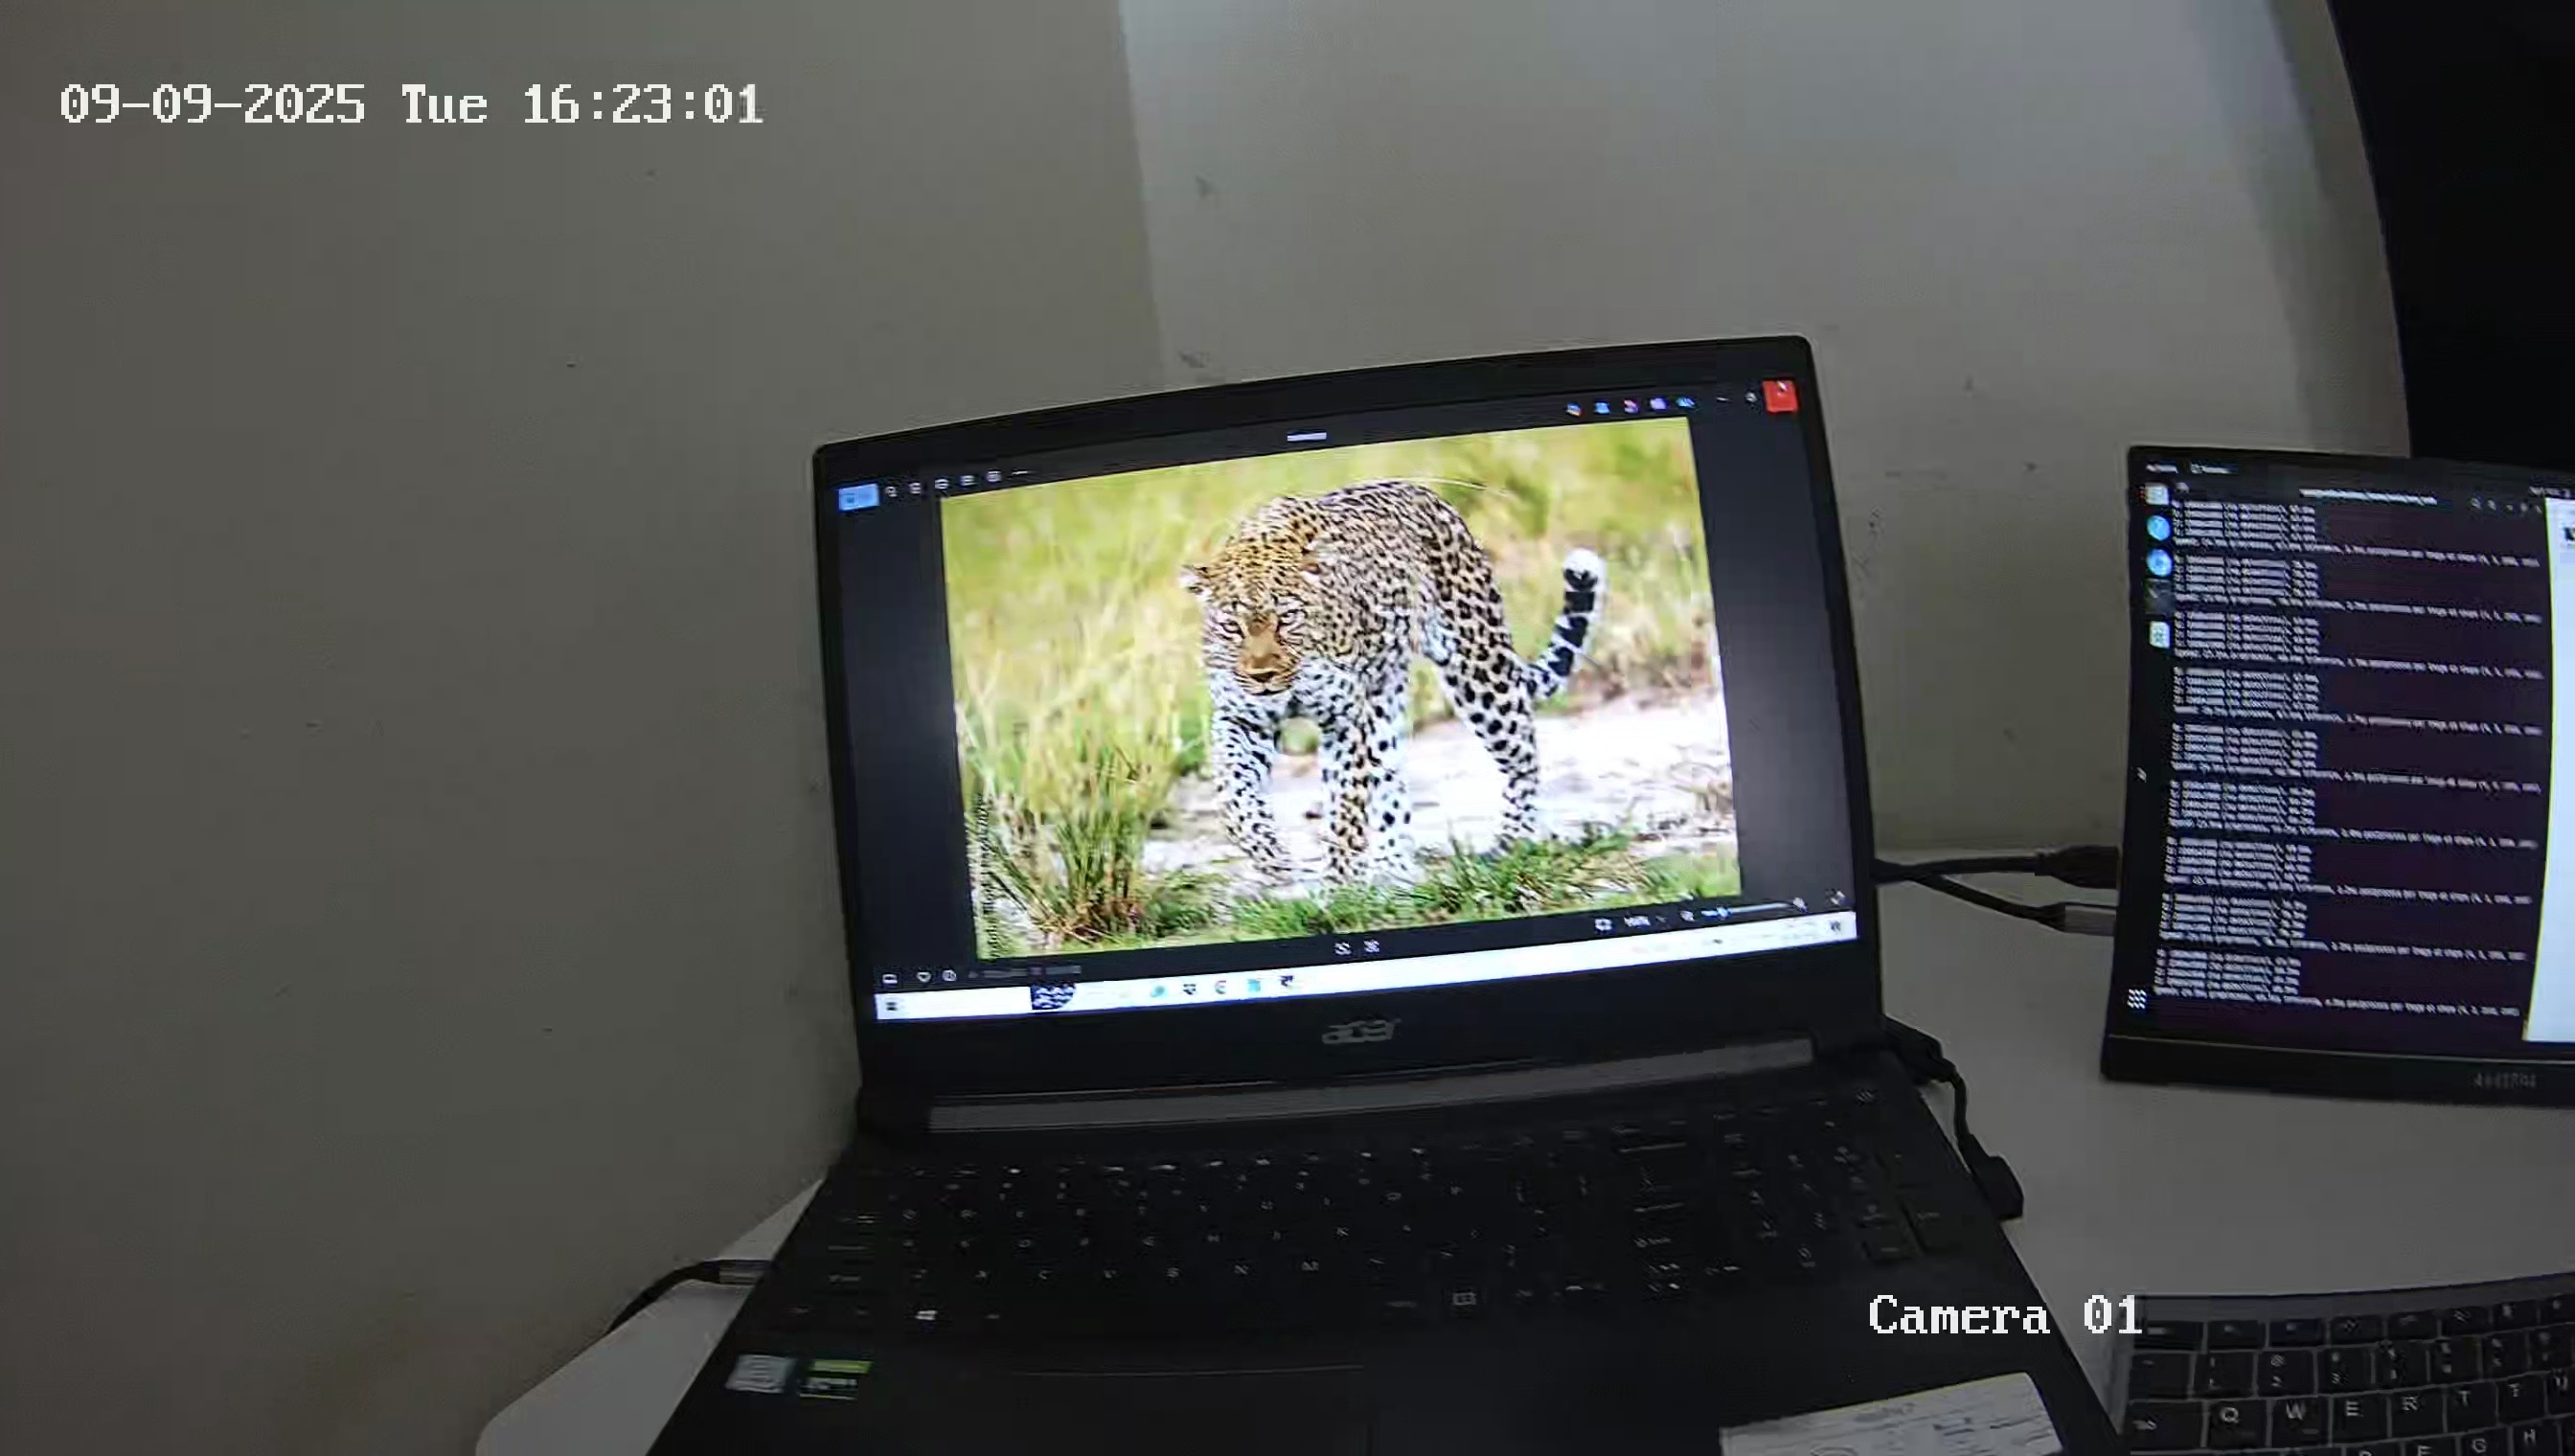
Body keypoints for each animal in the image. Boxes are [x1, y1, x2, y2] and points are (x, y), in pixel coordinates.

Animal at [1180, 478, 1607, 884]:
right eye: (1232, 627)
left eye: (1287, 618)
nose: (1262, 675)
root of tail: (1427, 495)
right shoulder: (1241, 719)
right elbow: (1234, 795)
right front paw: (1271, 857)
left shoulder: (1344, 719)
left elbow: (1346, 807)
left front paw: (1341, 885)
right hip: (1385, 697)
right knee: (1390, 780)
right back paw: (1393, 866)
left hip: (1479, 668)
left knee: (1523, 757)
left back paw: (1512, 841)